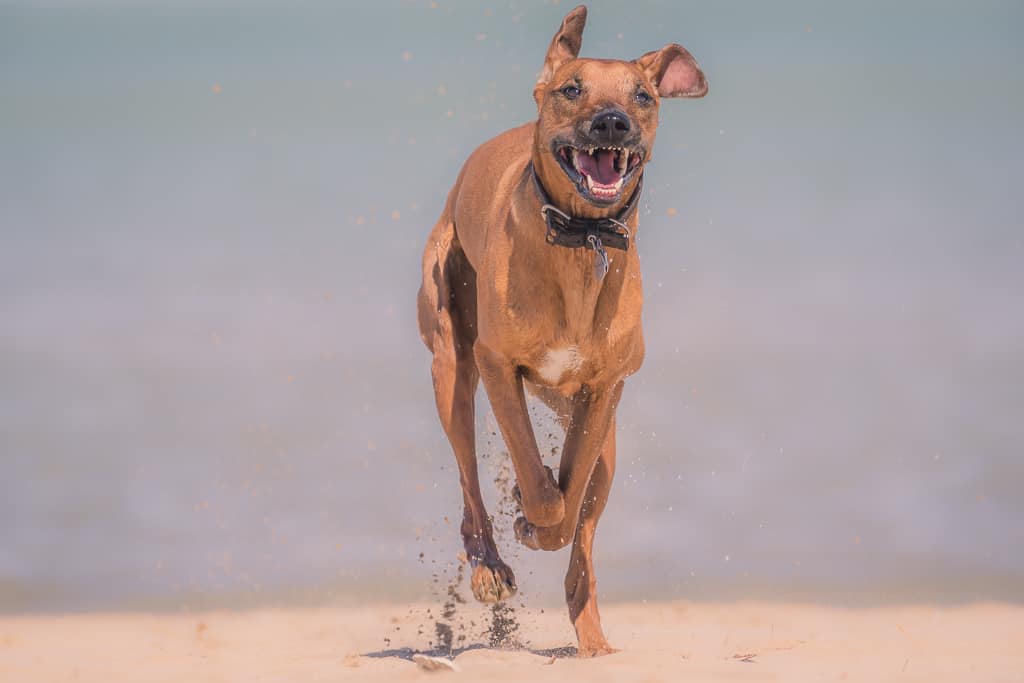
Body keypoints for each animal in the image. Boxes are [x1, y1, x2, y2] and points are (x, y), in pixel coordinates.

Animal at [415, 5, 704, 655]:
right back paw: (489, 564)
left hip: (605, 436)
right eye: (572, 89)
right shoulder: (498, 365)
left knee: (585, 537)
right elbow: (531, 465)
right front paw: (531, 506)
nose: (613, 121)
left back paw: (592, 637)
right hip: (452, 365)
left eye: (643, 95)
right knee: (469, 480)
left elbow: (570, 498)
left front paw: (540, 514)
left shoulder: (603, 389)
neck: (582, 237)